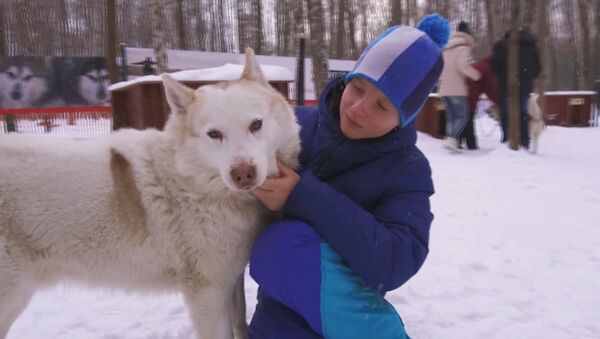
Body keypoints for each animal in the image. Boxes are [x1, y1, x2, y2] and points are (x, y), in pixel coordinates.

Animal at [0, 48, 300, 339]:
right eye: (214, 134)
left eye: (256, 125)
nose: (243, 174)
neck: (192, 181)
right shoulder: (207, 292)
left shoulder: (231, 277)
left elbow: (240, 322)